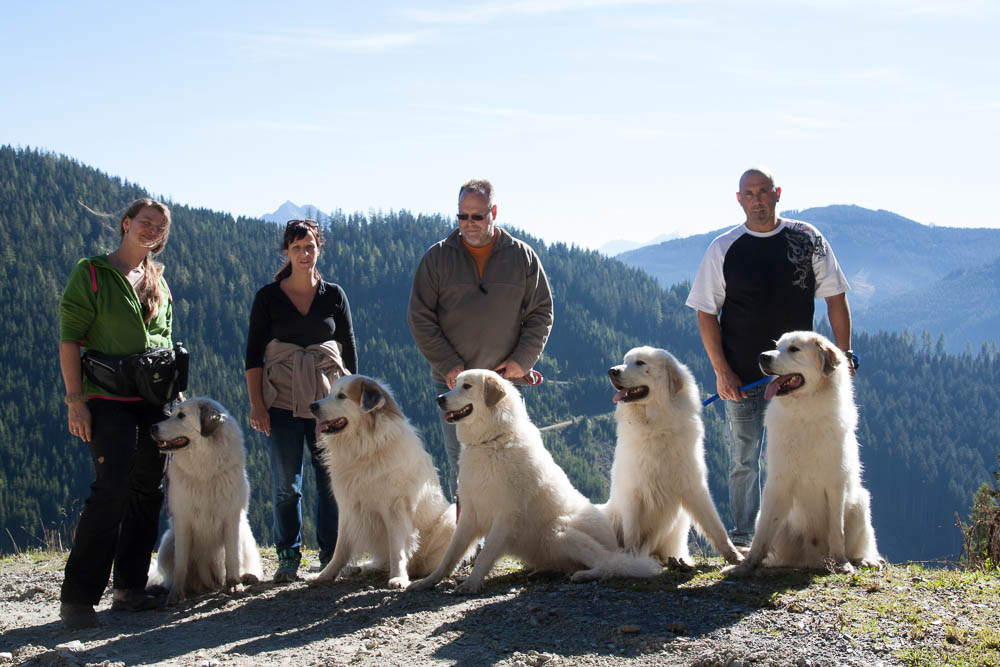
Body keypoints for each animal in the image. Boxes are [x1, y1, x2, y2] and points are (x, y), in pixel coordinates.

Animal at [148, 396, 264, 604]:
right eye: (172, 413)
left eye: (181, 416)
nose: (152, 427)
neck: (204, 469)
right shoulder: (183, 520)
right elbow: (181, 564)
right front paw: (176, 593)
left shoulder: (231, 518)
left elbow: (232, 558)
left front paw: (234, 584)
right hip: (168, 541)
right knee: (170, 574)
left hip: (245, 534)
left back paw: (248, 576)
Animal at [308, 376, 460, 588]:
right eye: (330, 393)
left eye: (342, 396)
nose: (312, 405)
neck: (365, 448)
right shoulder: (348, 507)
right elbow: (340, 548)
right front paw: (325, 575)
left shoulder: (395, 507)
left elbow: (397, 547)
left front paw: (398, 577)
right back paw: (367, 567)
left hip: (450, 517)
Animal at [406, 370, 664, 596]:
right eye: (454, 383)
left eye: (466, 386)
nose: (439, 399)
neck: (491, 442)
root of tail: (614, 542)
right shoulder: (469, 513)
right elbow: (450, 555)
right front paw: (428, 582)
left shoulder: (505, 515)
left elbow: (485, 554)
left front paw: (471, 583)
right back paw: (543, 571)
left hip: (557, 530)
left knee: (608, 563)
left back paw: (586, 574)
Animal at [600, 344, 744, 568]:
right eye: (625, 361)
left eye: (640, 363)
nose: (611, 371)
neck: (656, 425)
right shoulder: (633, 492)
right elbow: (632, 533)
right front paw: (632, 560)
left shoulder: (693, 486)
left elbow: (716, 527)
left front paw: (735, 556)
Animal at [728, 334, 884, 580]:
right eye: (776, 346)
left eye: (794, 349)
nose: (762, 357)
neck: (804, 410)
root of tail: (813, 558)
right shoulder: (778, 483)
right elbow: (761, 537)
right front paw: (745, 566)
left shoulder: (835, 484)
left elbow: (837, 530)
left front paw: (842, 563)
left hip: (860, 503)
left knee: (861, 544)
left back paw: (866, 560)